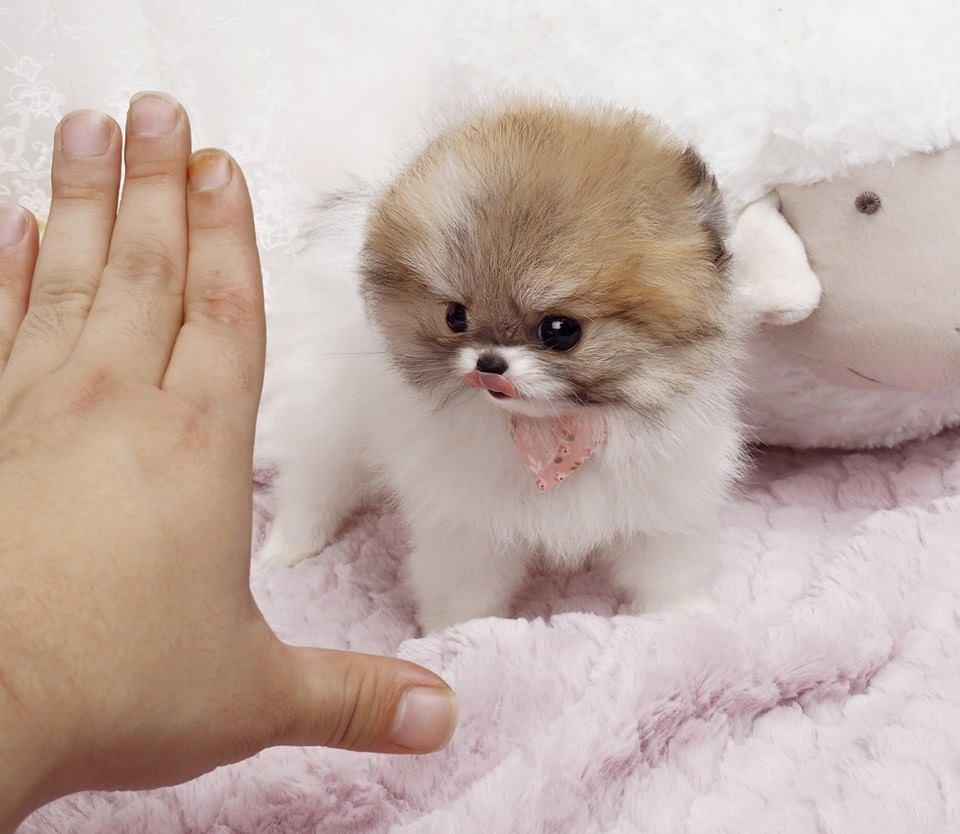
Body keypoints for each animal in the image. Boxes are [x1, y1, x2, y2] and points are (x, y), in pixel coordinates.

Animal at [253, 101, 744, 628]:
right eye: (455, 316)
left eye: (560, 330)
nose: (488, 362)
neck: (552, 435)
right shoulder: (466, 527)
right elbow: (466, 598)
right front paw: (454, 638)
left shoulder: (665, 509)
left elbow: (671, 576)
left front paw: (687, 620)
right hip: (325, 421)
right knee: (311, 486)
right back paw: (286, 550)